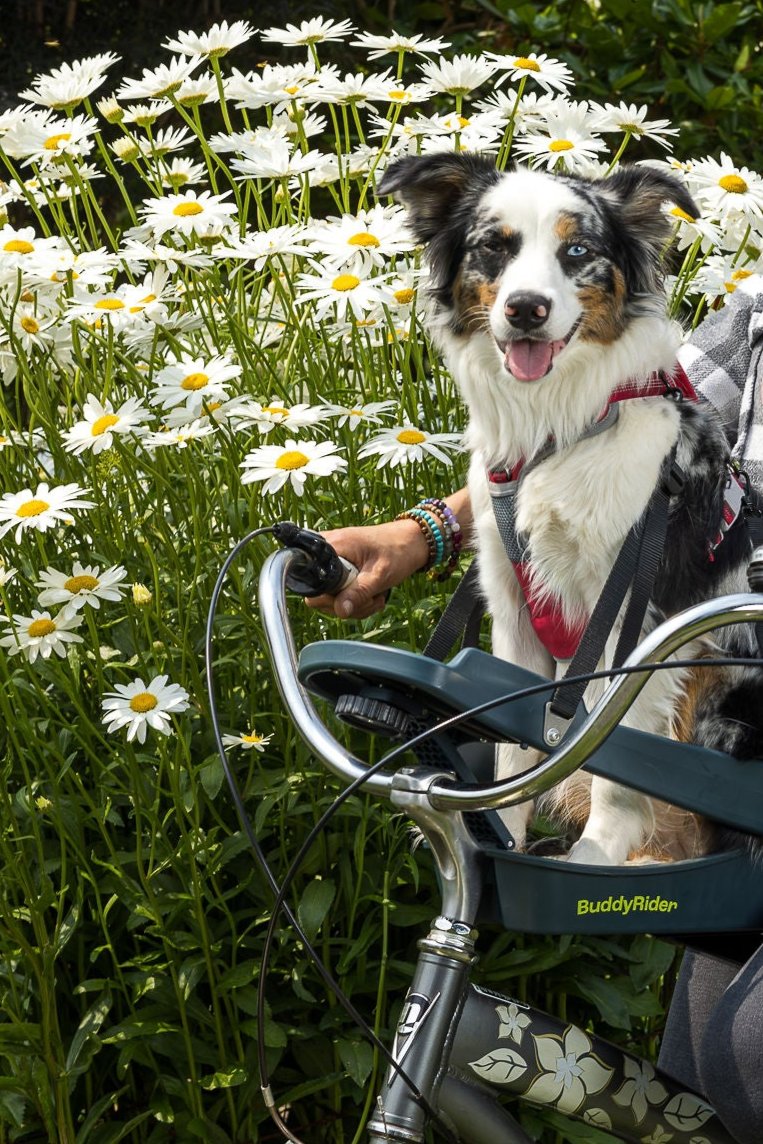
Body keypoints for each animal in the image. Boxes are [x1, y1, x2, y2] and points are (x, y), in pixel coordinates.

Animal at [379, 154, 763, 864]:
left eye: (578, 250)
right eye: (494, 246)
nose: (526, 309)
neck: (557, 430)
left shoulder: (636, 621)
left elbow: (619, 753)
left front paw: (598, 853)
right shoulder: (513, 611)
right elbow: (515, 748)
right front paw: (501, 832)